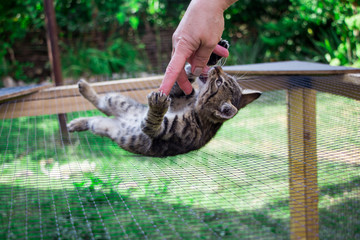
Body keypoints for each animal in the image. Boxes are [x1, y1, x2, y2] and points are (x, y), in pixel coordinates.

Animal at [67, 42, 260, 157]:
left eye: (219, 82)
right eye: (225, 78)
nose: (217, 69)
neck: (194, 108)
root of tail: (118, 119)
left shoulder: (161, 129)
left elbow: (152, 120)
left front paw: (158, 105)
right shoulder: (180, 95)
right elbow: (184, 78)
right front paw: (214, 53)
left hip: (107, 117)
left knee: (98, 112)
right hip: (117, 101)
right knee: (100, 105)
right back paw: (81, 101)